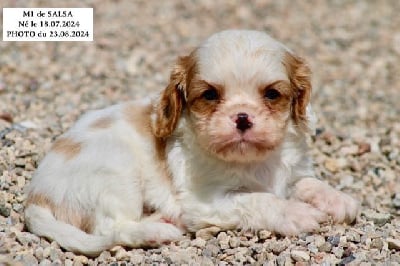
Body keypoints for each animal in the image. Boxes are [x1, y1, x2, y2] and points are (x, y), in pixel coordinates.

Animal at [23, 29, 358, 256]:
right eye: (210, 95)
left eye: (272, 94)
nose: (242, 118)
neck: (255, 161)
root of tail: (36, 196)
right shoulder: (204, 200)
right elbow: (258, 199)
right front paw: (296, 214)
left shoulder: (292, 172)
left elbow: (307, 182)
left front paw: (337, 199)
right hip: (116, 170)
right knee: (112, 227)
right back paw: (157, 229)